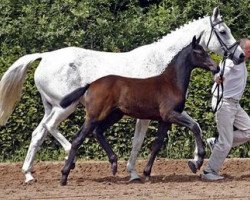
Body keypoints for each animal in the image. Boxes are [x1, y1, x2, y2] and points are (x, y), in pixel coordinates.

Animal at [59, 35, 218, 185]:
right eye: (199, 52)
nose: (216, 67)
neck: (171, 83)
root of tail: (90, 84)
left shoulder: (164, 120)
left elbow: (157, 144)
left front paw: (147, 173)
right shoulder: (170, 114)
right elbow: (194, 126)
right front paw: (197, 162)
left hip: (114, 115)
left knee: (97, 132)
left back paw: (114, 164)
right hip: (95, 115)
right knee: (78, 139)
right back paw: (64, 176)